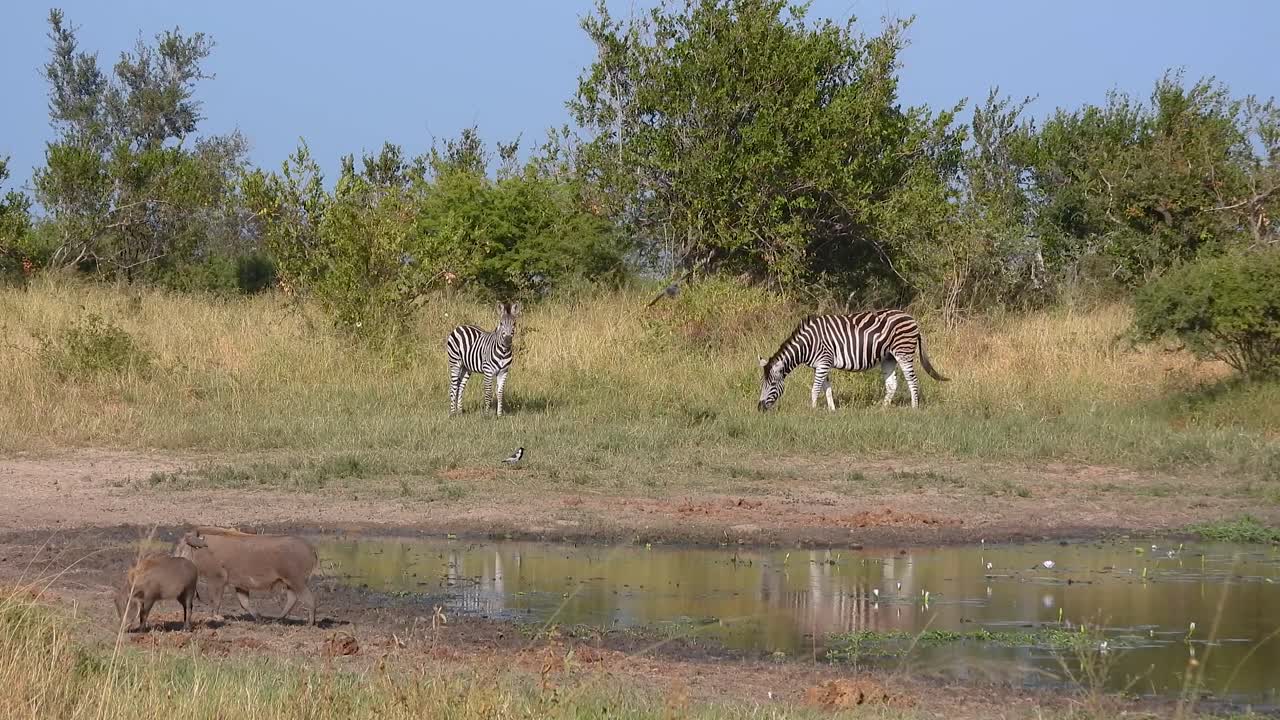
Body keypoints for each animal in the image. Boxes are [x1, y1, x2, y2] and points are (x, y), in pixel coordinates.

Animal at [757, 310, 948, 411]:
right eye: (762, 384)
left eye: (772, 385)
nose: (759, 408)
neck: (808, 344)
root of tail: (912, 318)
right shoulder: (821, 365)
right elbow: (827, 389)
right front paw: (832, 411)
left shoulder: (823, 362)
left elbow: (815, 389)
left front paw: (812, 410)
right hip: (889, 357)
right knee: (892, 384)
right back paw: (882, 410)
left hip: (904, 353)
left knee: (912, 380)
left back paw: (914, 408)